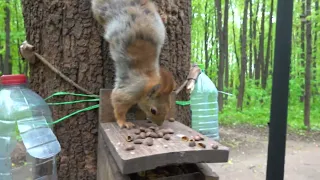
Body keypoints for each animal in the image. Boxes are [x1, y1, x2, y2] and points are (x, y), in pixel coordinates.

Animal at [91, 0, 176, 128]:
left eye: (169, 107)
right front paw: (123, 122)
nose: (159, 124)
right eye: (153, 110)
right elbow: (118, 102)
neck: (150, 78)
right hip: (101, 11)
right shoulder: (132, 89)